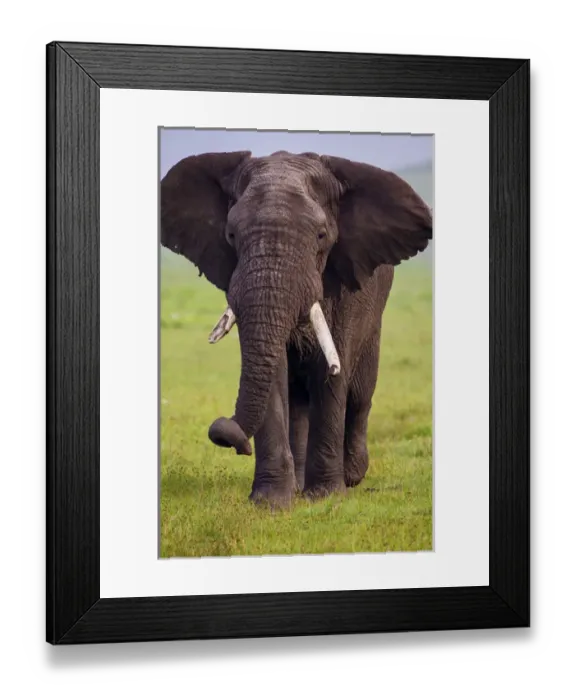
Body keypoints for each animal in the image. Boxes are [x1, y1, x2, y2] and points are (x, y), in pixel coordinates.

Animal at [160, 150, 432, 506]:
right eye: (231, 236)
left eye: (321, 236)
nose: (224, 433)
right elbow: (275, 375)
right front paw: (271, 503)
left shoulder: (344, 287)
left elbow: (332, 373)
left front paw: (326, 498)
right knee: (300, 400)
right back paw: (301, 487)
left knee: (361, 393)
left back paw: (352, 476)